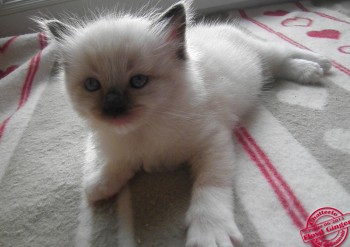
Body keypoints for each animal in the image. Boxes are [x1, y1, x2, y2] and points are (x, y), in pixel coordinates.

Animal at [41, 1, 330, 245]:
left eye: (138, 82)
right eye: (92, 85)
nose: (112, 108)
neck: (144, 130)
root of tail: (220, 27)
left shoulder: (212, 142)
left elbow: (209, 188)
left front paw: (209, 233)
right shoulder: (126, 148)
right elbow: (119, 164)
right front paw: (100, 185)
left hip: (263, 53)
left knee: (285, 53)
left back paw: (317, 65)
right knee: (280, 64)